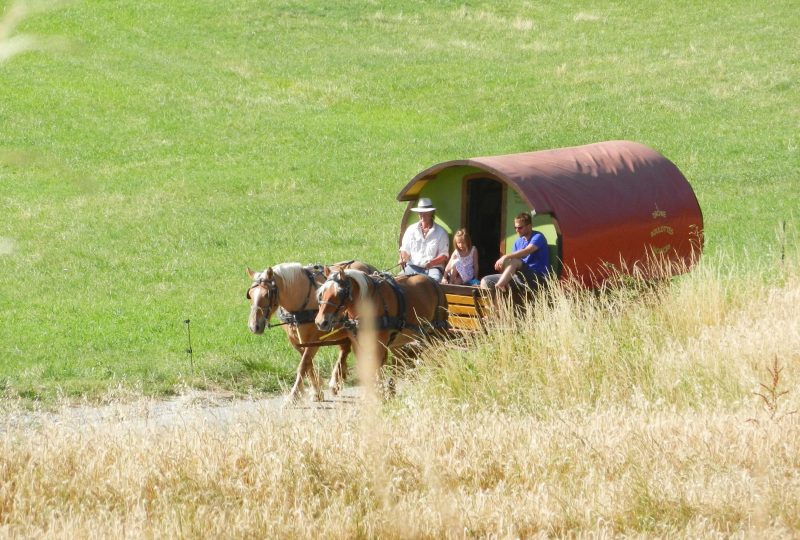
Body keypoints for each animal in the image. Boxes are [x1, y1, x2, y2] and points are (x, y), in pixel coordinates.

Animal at [247, 262, 376, 400]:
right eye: (250, 294)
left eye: (267, 294)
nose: (254, 326)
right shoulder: (296, 340)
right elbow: (308, 364)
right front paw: (316, 391)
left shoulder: (314, 339)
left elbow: (303, 364)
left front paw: (293, 395)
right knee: (344, 349)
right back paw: (336, 381)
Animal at [314, 270, 450, 380]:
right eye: (322, 292)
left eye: (340, 292)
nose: (321, 322)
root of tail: (432, 281)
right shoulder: (358, 345)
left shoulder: (378, 346)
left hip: (438, 331)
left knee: (441, 352)